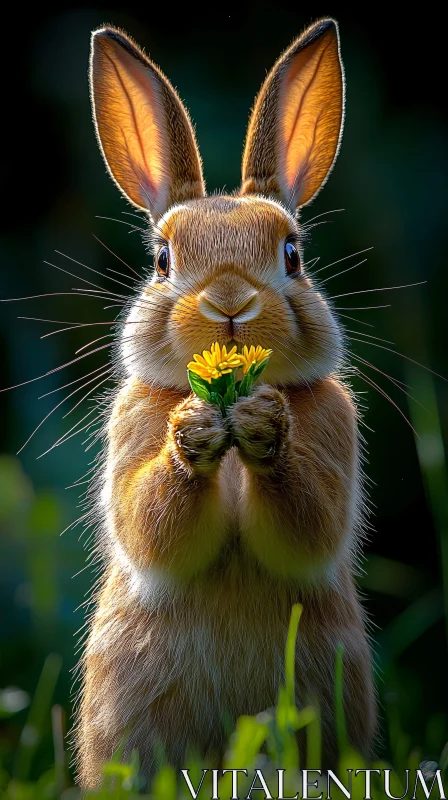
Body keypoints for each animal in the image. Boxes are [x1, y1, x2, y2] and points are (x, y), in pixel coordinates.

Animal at [75, 17, 376, 788]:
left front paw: (262, 425)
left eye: (293, 255)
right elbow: (151, 523)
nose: (231, 301)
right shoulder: (132, 436)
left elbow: (310, 519)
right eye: (162, 261)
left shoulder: (333, 434)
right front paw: (196, 431)